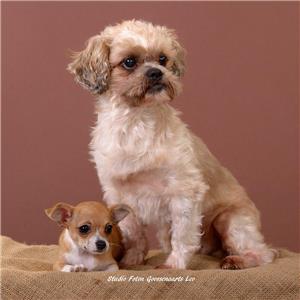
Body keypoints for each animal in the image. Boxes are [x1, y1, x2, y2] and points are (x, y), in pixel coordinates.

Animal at [67, 19, 276, 270]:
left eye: (163, 59)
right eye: (129, 62)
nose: (156, 72)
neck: (135, 121)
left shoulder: (184, 191)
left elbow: (183, 235)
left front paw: (174, 264)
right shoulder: (119, 194)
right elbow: (134, 232)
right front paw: (133, 260)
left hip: (231, 220)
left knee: (264, 254)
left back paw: (237, 260)